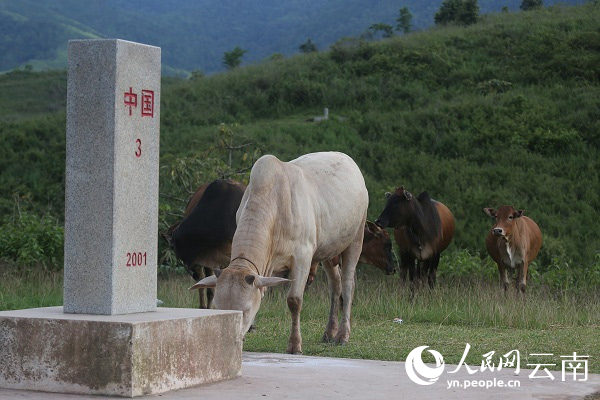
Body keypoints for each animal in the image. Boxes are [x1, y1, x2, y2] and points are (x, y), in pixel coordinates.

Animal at [193, 152, 370, 354]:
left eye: (244, 311)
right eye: (219, 309)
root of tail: (346, 158)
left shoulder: (303, 257)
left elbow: (294, 301)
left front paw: (295, 344)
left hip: (356, 238)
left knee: (348, 285)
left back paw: (342, 335)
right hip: (328, 250)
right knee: (335, 285)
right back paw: (329, 332)